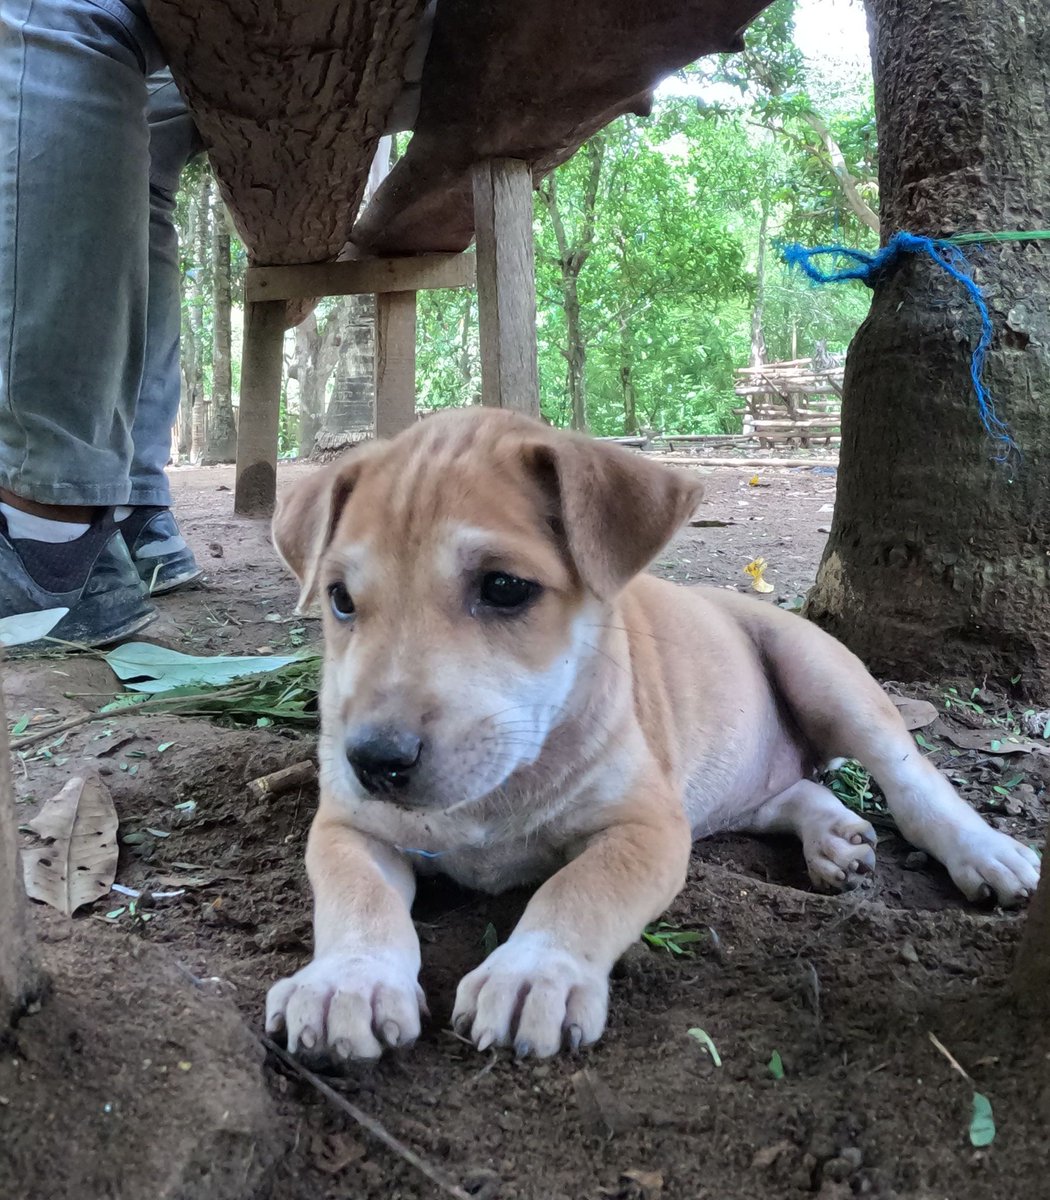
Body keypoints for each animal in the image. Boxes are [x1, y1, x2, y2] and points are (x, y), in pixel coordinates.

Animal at [265, 410, 1041, 1060]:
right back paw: (832, 838)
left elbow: (581, 887)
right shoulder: (348, 828)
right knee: (787, 792)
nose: (374, 761)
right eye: (340, 599)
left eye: (505, 587)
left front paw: (534, 972)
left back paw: (986, 853)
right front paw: (348, 981)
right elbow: (357, 897)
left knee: (911, 777)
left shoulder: (647, 826)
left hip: (825, 674)